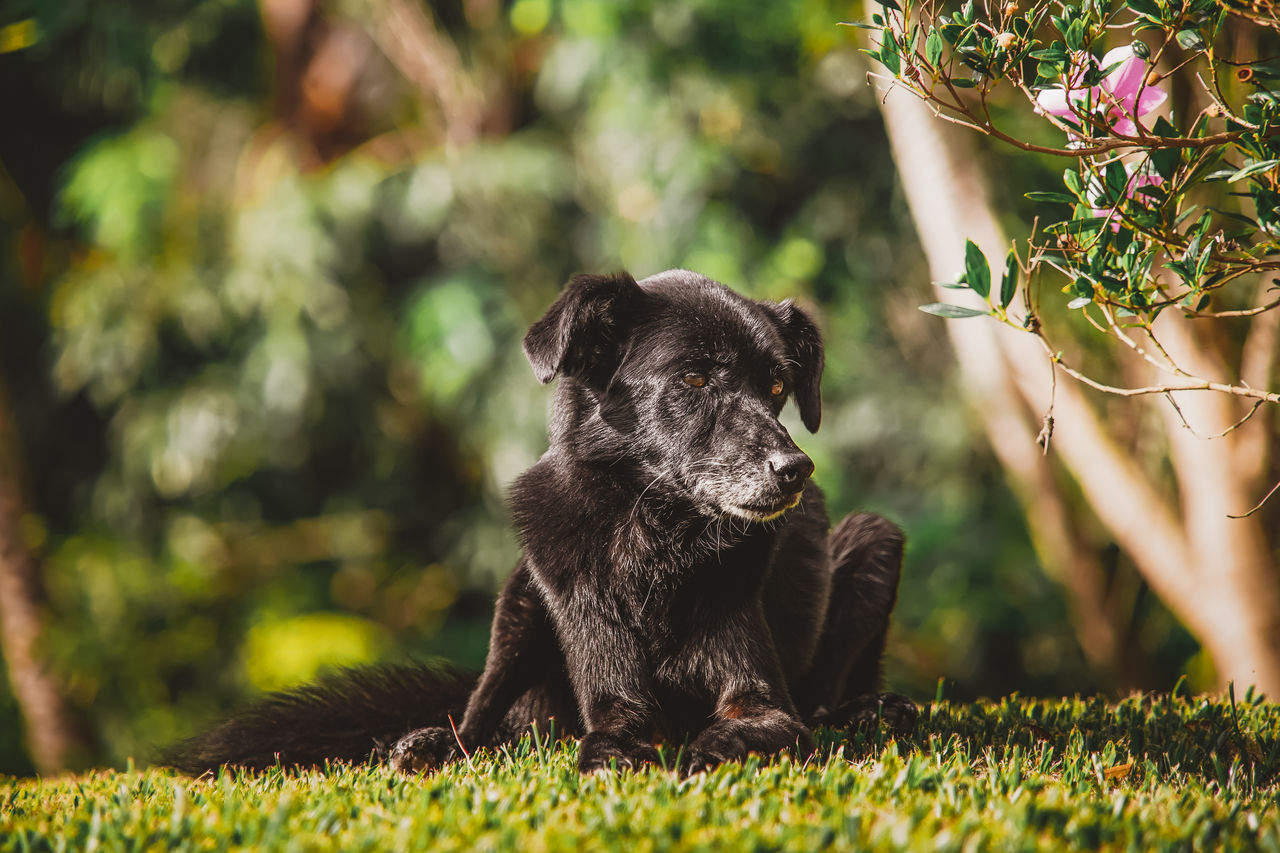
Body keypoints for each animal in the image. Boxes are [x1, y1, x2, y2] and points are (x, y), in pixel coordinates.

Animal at [170, 268, 911, 773]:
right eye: (696, 379)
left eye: (778, 386)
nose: (796, 470)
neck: (656, 540)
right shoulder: (608, 682)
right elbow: (609, 734)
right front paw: (623, 758)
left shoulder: (765, 701)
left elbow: (750, 727)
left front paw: (703, 750)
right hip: (523, 597)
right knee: (481, 714)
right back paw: (432, 741)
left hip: (877, 536)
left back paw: (870, 707)